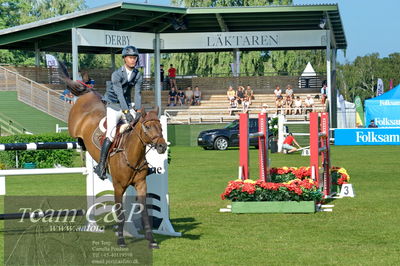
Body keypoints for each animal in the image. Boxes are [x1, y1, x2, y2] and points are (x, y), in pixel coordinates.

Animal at [65, 79, 167, 249]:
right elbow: (120, 213)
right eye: (147, 126)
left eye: (161, 127)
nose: (162, 147)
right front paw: (121, 239)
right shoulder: (118, 187)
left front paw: (151, 240)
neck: (132, 155)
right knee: (74, 134)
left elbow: (144, 211)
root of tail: (89, 93)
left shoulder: (141, 184)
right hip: (73, 126)